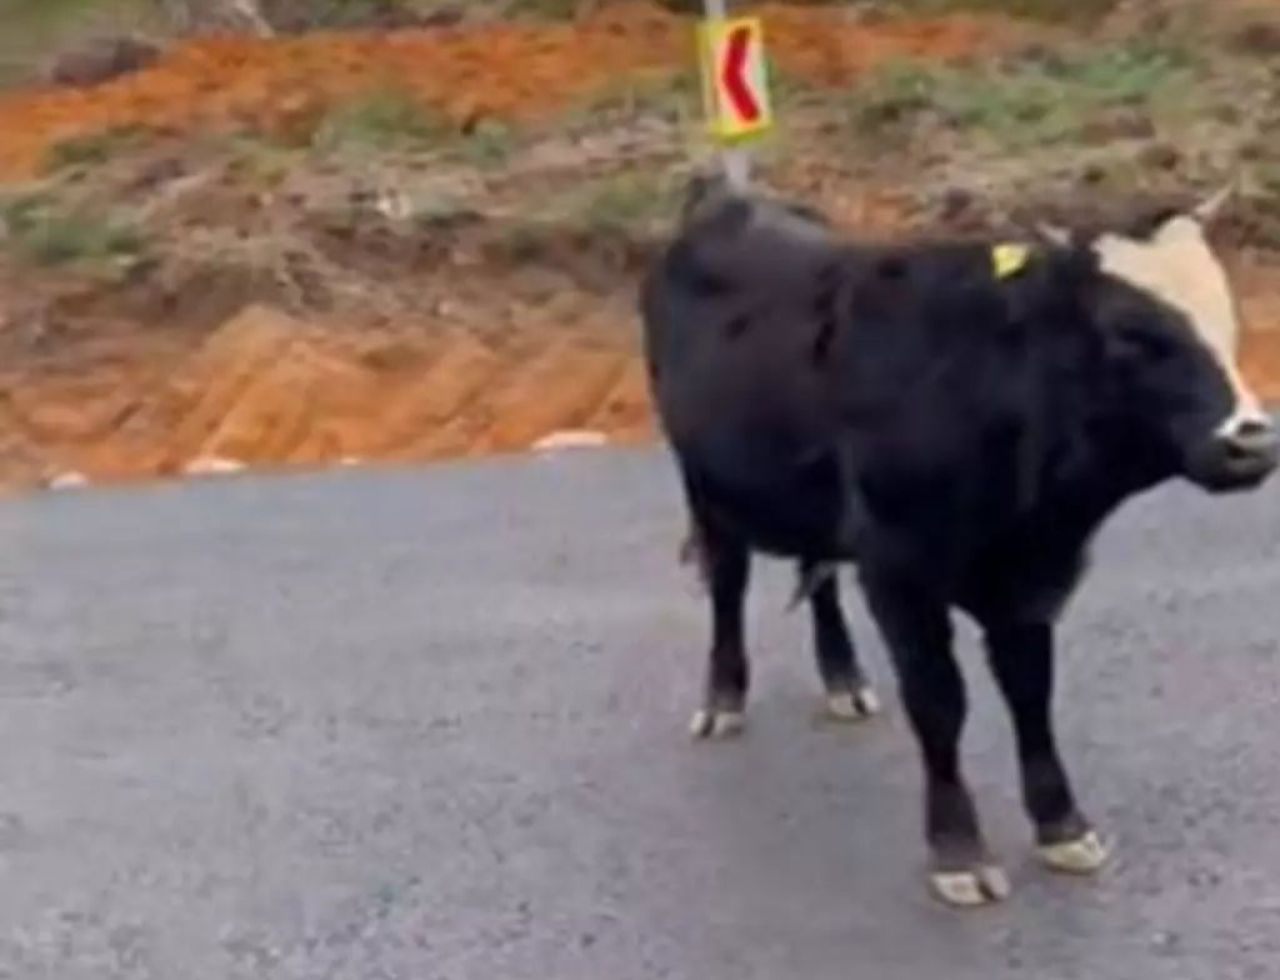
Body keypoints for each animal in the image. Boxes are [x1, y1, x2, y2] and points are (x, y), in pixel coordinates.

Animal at [640, 176, 1280, 905]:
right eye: (1130, 333)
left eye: (1226, 317)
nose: (1251, 442)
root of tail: (729, 193)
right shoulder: (900, 573)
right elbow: (940, 702)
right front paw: (957, 850)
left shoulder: (1033, 572)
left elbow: (1031, 689)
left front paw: (1061, 825)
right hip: (703, 482)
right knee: (728, 580)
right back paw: (722, 699)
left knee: (818, 576)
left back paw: (843, 678)